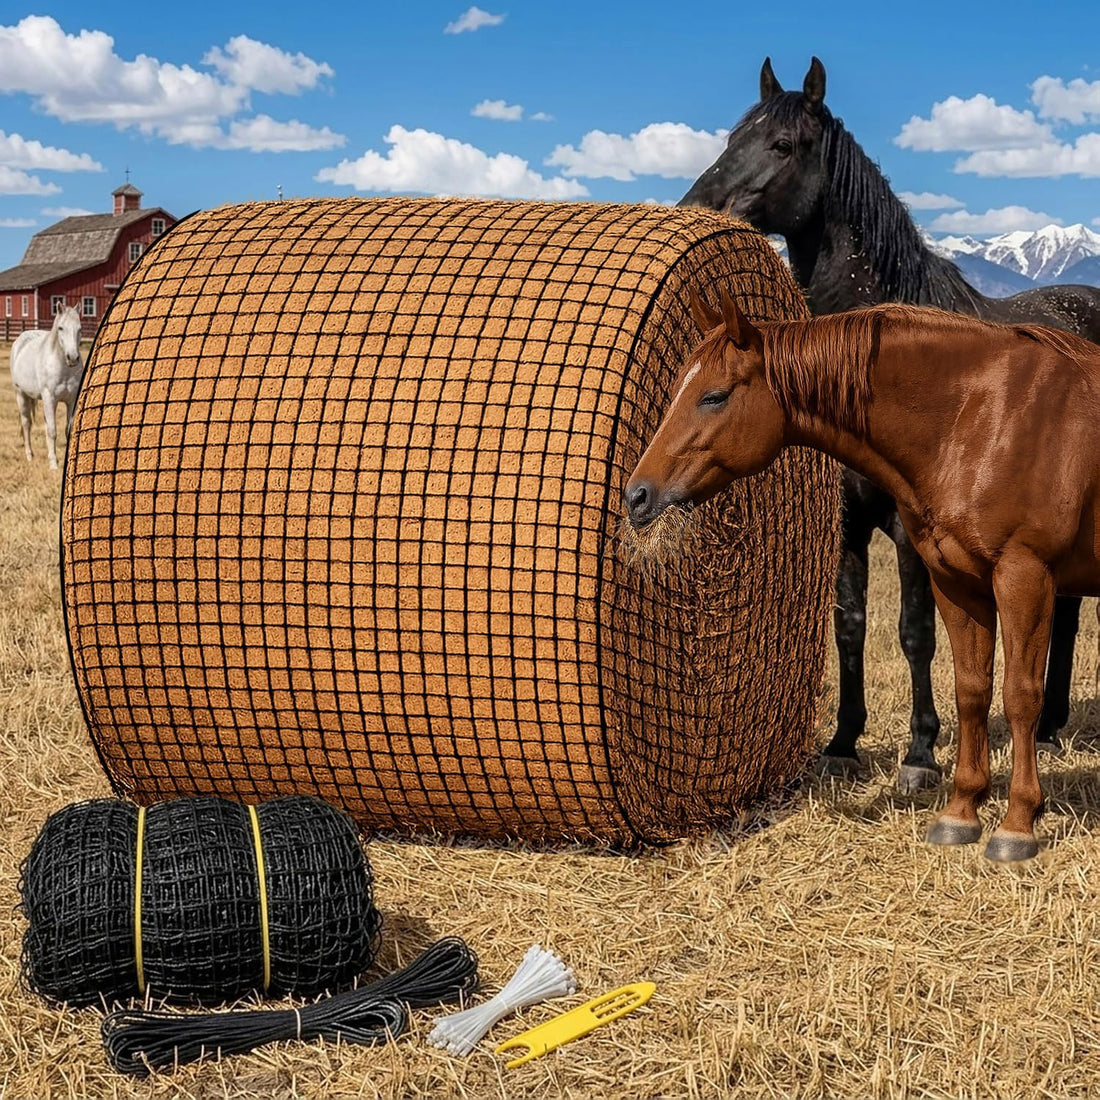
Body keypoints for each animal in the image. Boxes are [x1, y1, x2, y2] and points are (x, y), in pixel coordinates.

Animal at [9, 305, 83, 470]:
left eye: (79, 329)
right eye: (61, 328)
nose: (73, 358)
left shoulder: (71, 401)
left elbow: (67, 430)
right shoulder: (50, 398)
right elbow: (52, 431)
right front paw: (54, 465)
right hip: (21, 395)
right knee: (26, 424)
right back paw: (29, 456)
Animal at [624, 289, 1100, 862]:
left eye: (714, 396)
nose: (637, 495)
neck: (983, 418)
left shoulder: (1023, 575)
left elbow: (1019, 695)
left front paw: (1018, 823)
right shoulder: (955, 582)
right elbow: (971, 690)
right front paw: (961, 812)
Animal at [679, 57, 1100, 793]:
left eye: (783, 145)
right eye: (733, 136)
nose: (694, 209)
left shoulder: (911, 531)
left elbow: (914, 631)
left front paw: (921, 754)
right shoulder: (848, 521)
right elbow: (848, 624)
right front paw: (843, 742)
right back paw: (1047, 724)